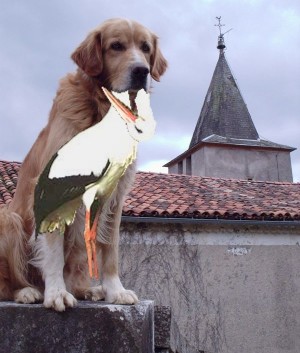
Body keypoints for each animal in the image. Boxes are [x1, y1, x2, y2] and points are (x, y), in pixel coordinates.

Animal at [0, 18, 166, 310]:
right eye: (116, 46)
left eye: (146, 48)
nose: (141, 71)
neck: (103, 110)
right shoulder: (51, 187)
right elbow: (53, 250)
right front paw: (56, 293)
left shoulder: (114, 196)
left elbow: (110, 249)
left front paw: (115, 290)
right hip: (8, 219)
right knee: (5, 284)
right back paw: (26, 291)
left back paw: (87, 290)